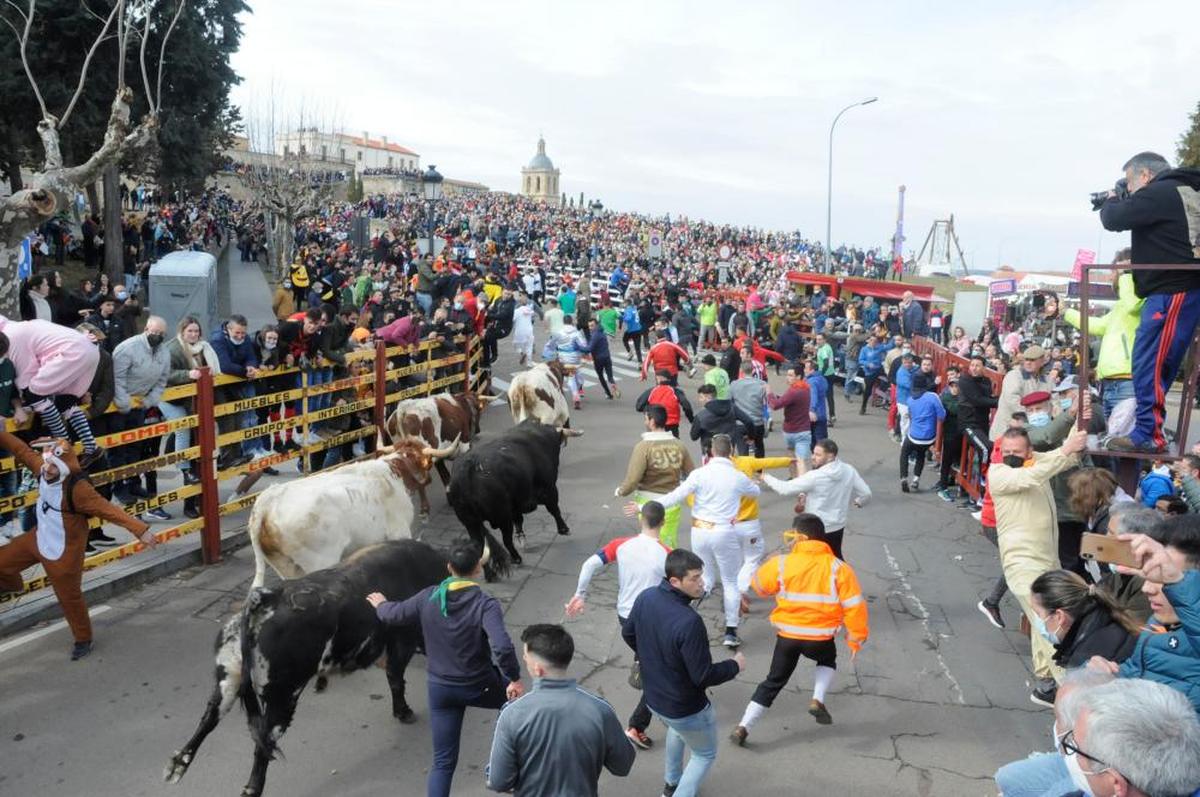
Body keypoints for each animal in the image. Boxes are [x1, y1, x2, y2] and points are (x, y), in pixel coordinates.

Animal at [159, 537, 458, 797]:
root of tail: (266, 596)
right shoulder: (404, 640)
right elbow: (396, 677)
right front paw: (404, 712)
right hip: (282, 697)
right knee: (263, 744)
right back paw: (251, 789)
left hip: (229, 679)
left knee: (210, 717)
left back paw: (177, 766)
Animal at [448, 417, 583, 578]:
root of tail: (467, 469)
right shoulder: (548, 488)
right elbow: (554, 509)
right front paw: (564, 529)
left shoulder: (515, 503)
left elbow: (519, 519)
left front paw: (521, 537)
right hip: (501, 517)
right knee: (506, 540)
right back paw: (516, 558)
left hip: (470, 522)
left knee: (479, 545)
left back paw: (489, 574)